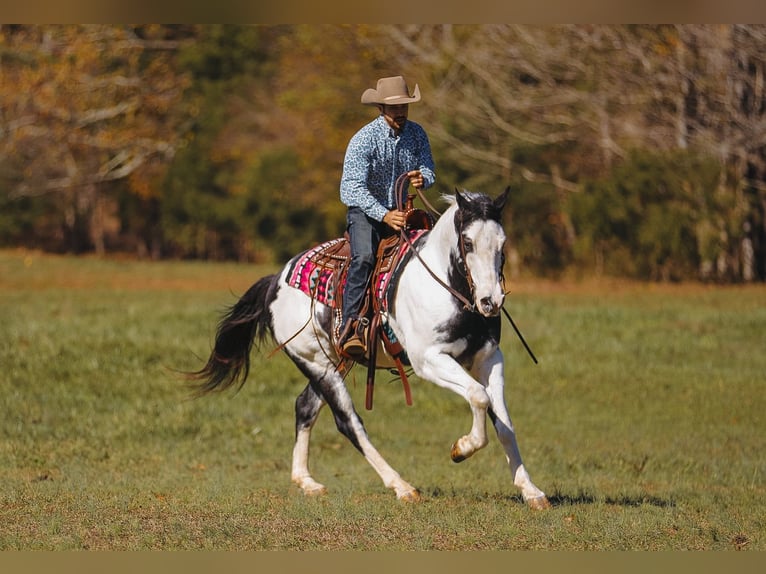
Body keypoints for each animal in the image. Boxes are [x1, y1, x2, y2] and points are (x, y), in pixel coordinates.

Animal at [190, 187, 556, 510]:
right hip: (317, 364)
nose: (491, 301)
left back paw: (306, 481)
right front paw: (461, 448)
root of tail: (276, 280)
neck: (447, 287)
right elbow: (479, 397)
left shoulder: (488, 358)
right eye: (467, 241)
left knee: (305, 406)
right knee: (348, 422)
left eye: (502, 243)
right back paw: (402, 486)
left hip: (330, 362)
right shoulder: (429, 360)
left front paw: (531, 491)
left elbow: (504, 423)